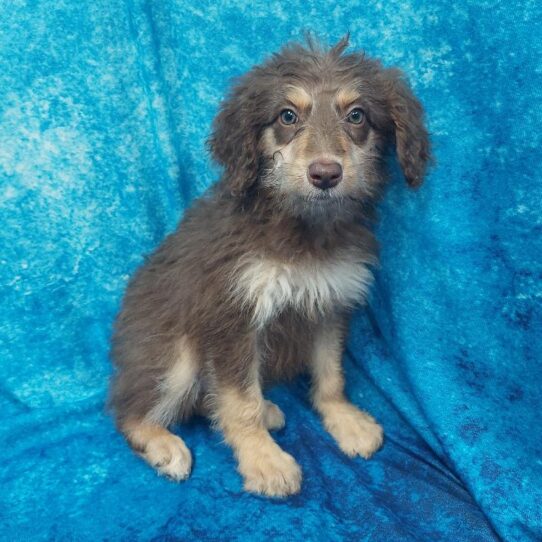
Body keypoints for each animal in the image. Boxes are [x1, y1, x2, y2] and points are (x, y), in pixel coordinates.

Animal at [110, 36, 434, 500]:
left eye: (356, 115)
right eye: (288, 116)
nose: (325, 174)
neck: (304, 230)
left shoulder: (329, 304)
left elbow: (330, 374)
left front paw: (345, 420)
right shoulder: (232, 317)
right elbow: (238, 402)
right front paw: (264, 461)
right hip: (175, 355)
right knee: (128, 409)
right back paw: (163, 444)